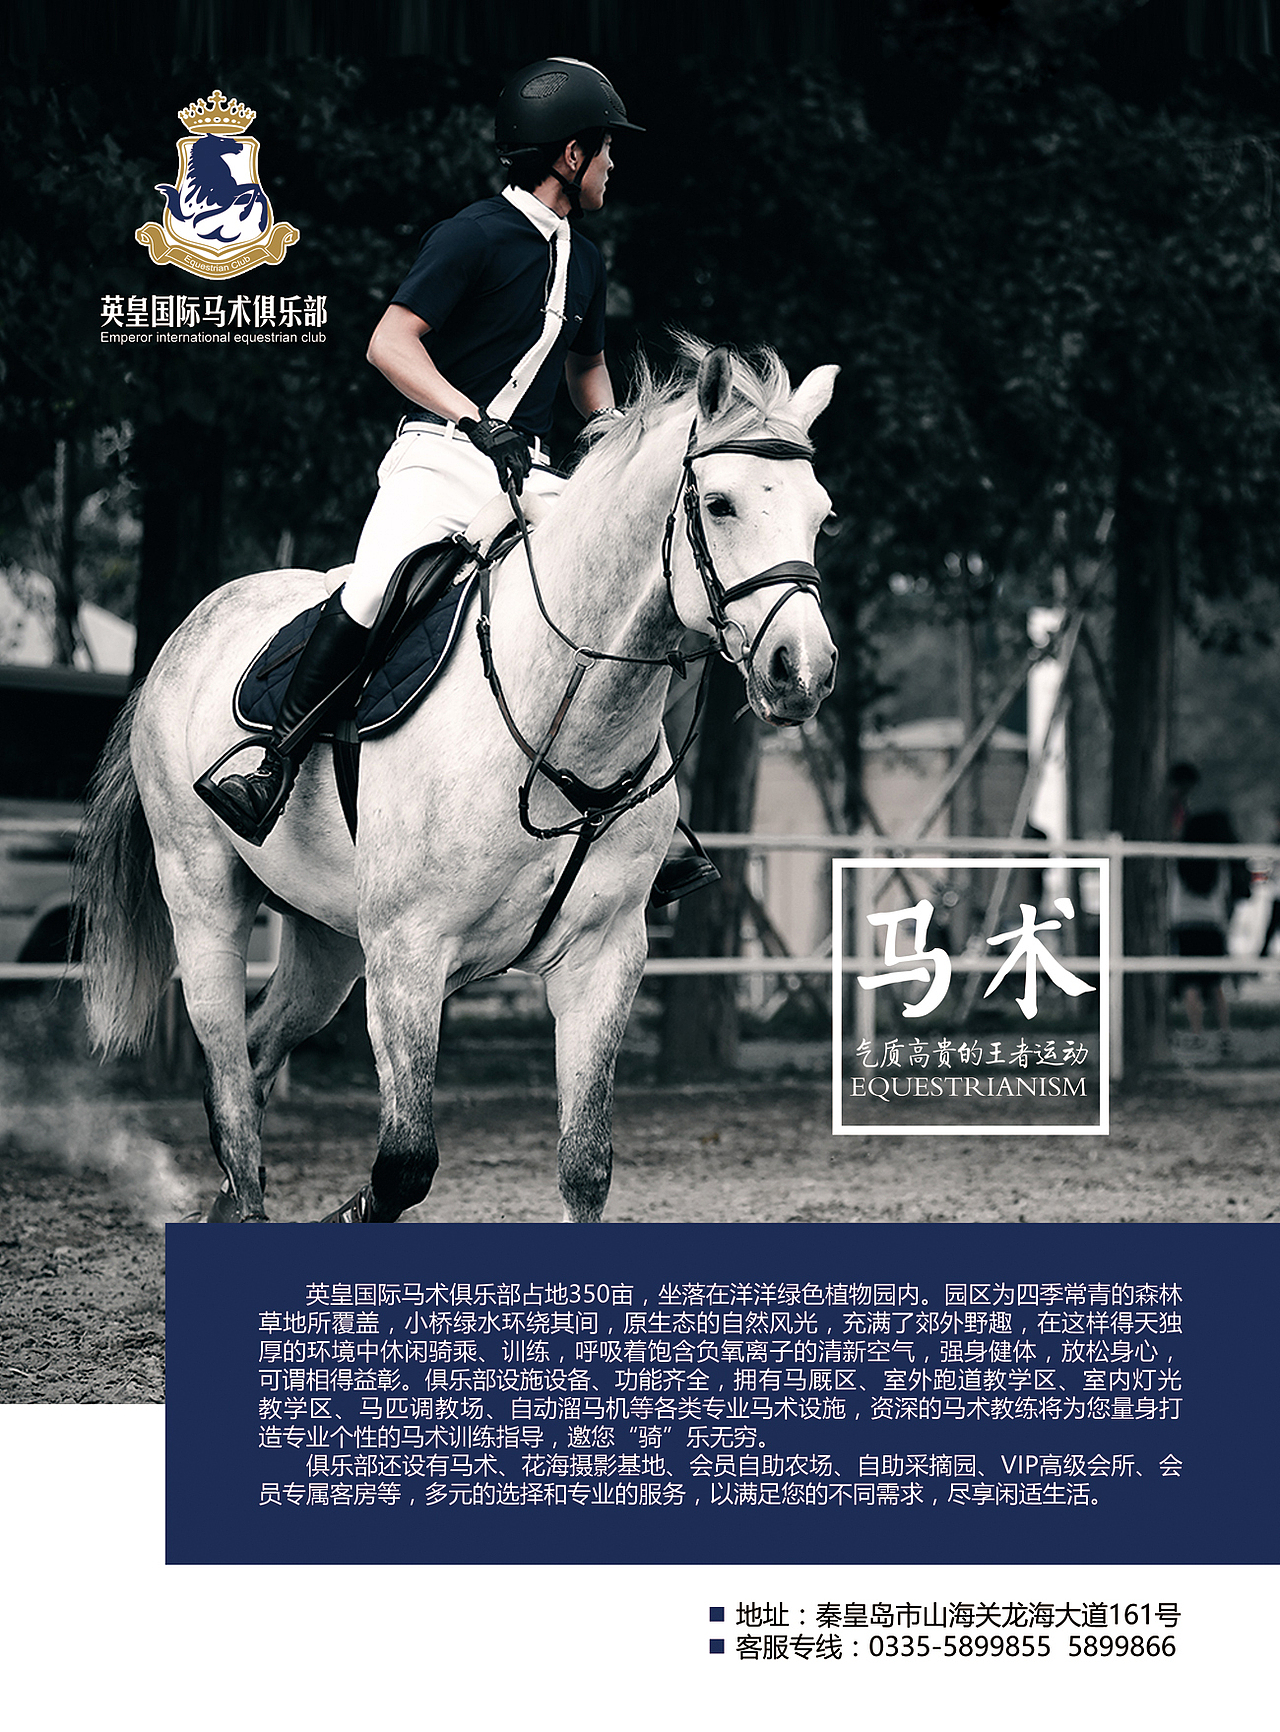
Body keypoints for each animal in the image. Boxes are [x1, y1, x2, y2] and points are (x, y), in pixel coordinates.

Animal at [73, 340, 839, 1224]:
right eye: (719, 504)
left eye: (823, 517)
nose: (802, 671)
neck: (560, 718)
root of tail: (192, 629)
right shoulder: (409, 957)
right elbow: (404, 1166)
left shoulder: (604, 958)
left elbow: (586, 1167)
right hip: (205, 901)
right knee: (232, 1089)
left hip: (331, 941)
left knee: (258, 1061)